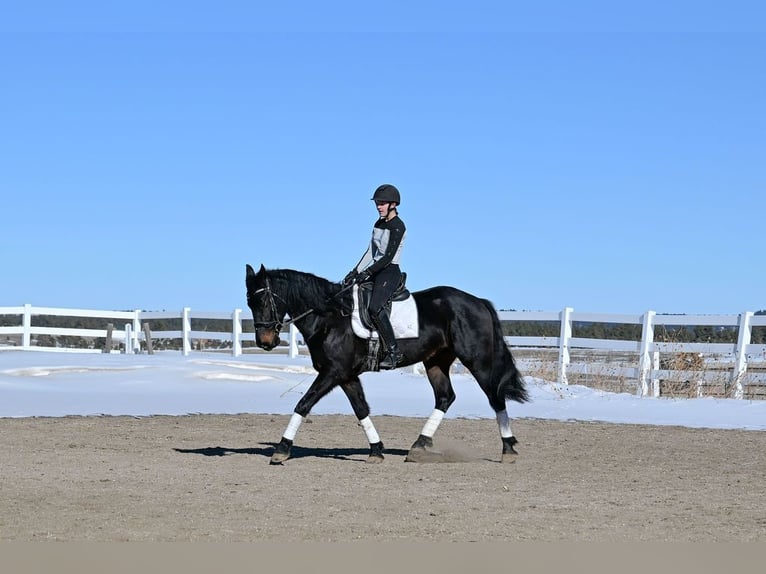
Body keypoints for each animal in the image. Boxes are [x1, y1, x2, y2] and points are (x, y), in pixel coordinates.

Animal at [245, 263, 528, 464]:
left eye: (263, 300)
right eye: (249, 302)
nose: (265, 342)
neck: (329, 317)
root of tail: (478, 301)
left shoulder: (332, 372)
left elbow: (303, 404)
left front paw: (282, 449)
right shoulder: (346, 375)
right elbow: (361, 409)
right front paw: (376, 450)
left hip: (477, 360)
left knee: (495, 397)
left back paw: (508, 449)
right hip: (436, 361)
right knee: (445, 397)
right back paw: (419, 445)